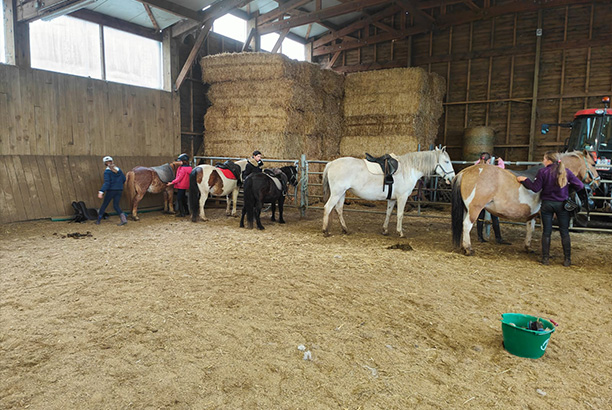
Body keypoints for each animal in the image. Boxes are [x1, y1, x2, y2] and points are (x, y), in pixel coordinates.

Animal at [322, 147, 456, 237]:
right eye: (447, 162)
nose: (452, 178)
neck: (408, 169)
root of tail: (331, 163)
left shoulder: (392, 199)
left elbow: (389, 213)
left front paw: (385, 230)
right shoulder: (402, 197)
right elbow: (400, 214)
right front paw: (400, 232)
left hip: (342, 193)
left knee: (339, 209)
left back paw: (345, 229)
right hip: (337, 193)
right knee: (328, 207)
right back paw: (325, 231)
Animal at [452, 149, 600, 255]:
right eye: (593, 164)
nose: (597, 183)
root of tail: (464, 172)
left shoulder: (532, 214)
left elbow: (530, 229)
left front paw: (528, 247)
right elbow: (545, 231)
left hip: (466, 208)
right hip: (475, 209)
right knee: (467, 224)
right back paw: (468, 249)